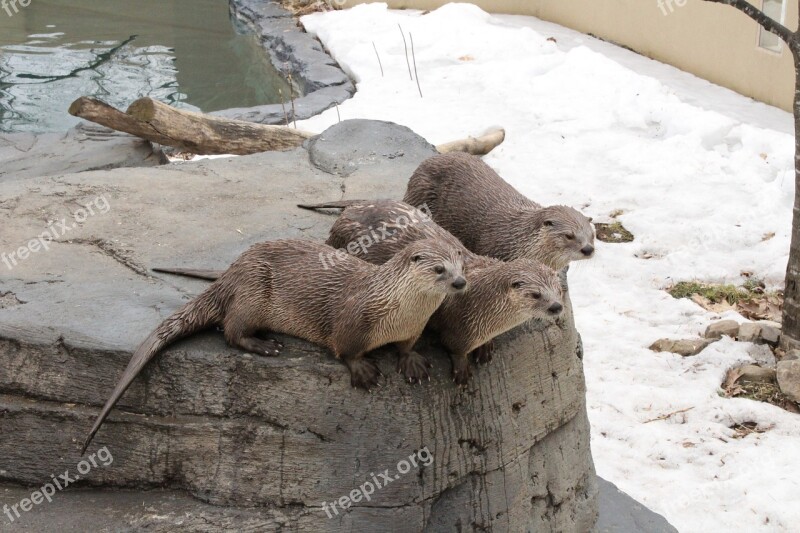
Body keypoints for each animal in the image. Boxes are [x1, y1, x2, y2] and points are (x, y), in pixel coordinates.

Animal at [82, 239, 466, 450]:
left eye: (462, 263)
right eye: (439, 269)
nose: (460, 283)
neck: (398, 310)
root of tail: (231, 273)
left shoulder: (414, 327)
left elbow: (407, 346)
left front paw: (412, 361)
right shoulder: (352, 319)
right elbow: (345, 348)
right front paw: (363, 370)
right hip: (253, 292)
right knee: (230, 329)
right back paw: (264, 346)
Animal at [158, 202, 564, 384]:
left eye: (557, 289)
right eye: (536, 296)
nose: (558, 307)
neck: (482, 301)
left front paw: (484, 350)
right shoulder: (455, 326)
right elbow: (453, 347)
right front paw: (463, 365)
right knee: (231, 329)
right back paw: (263, 344)